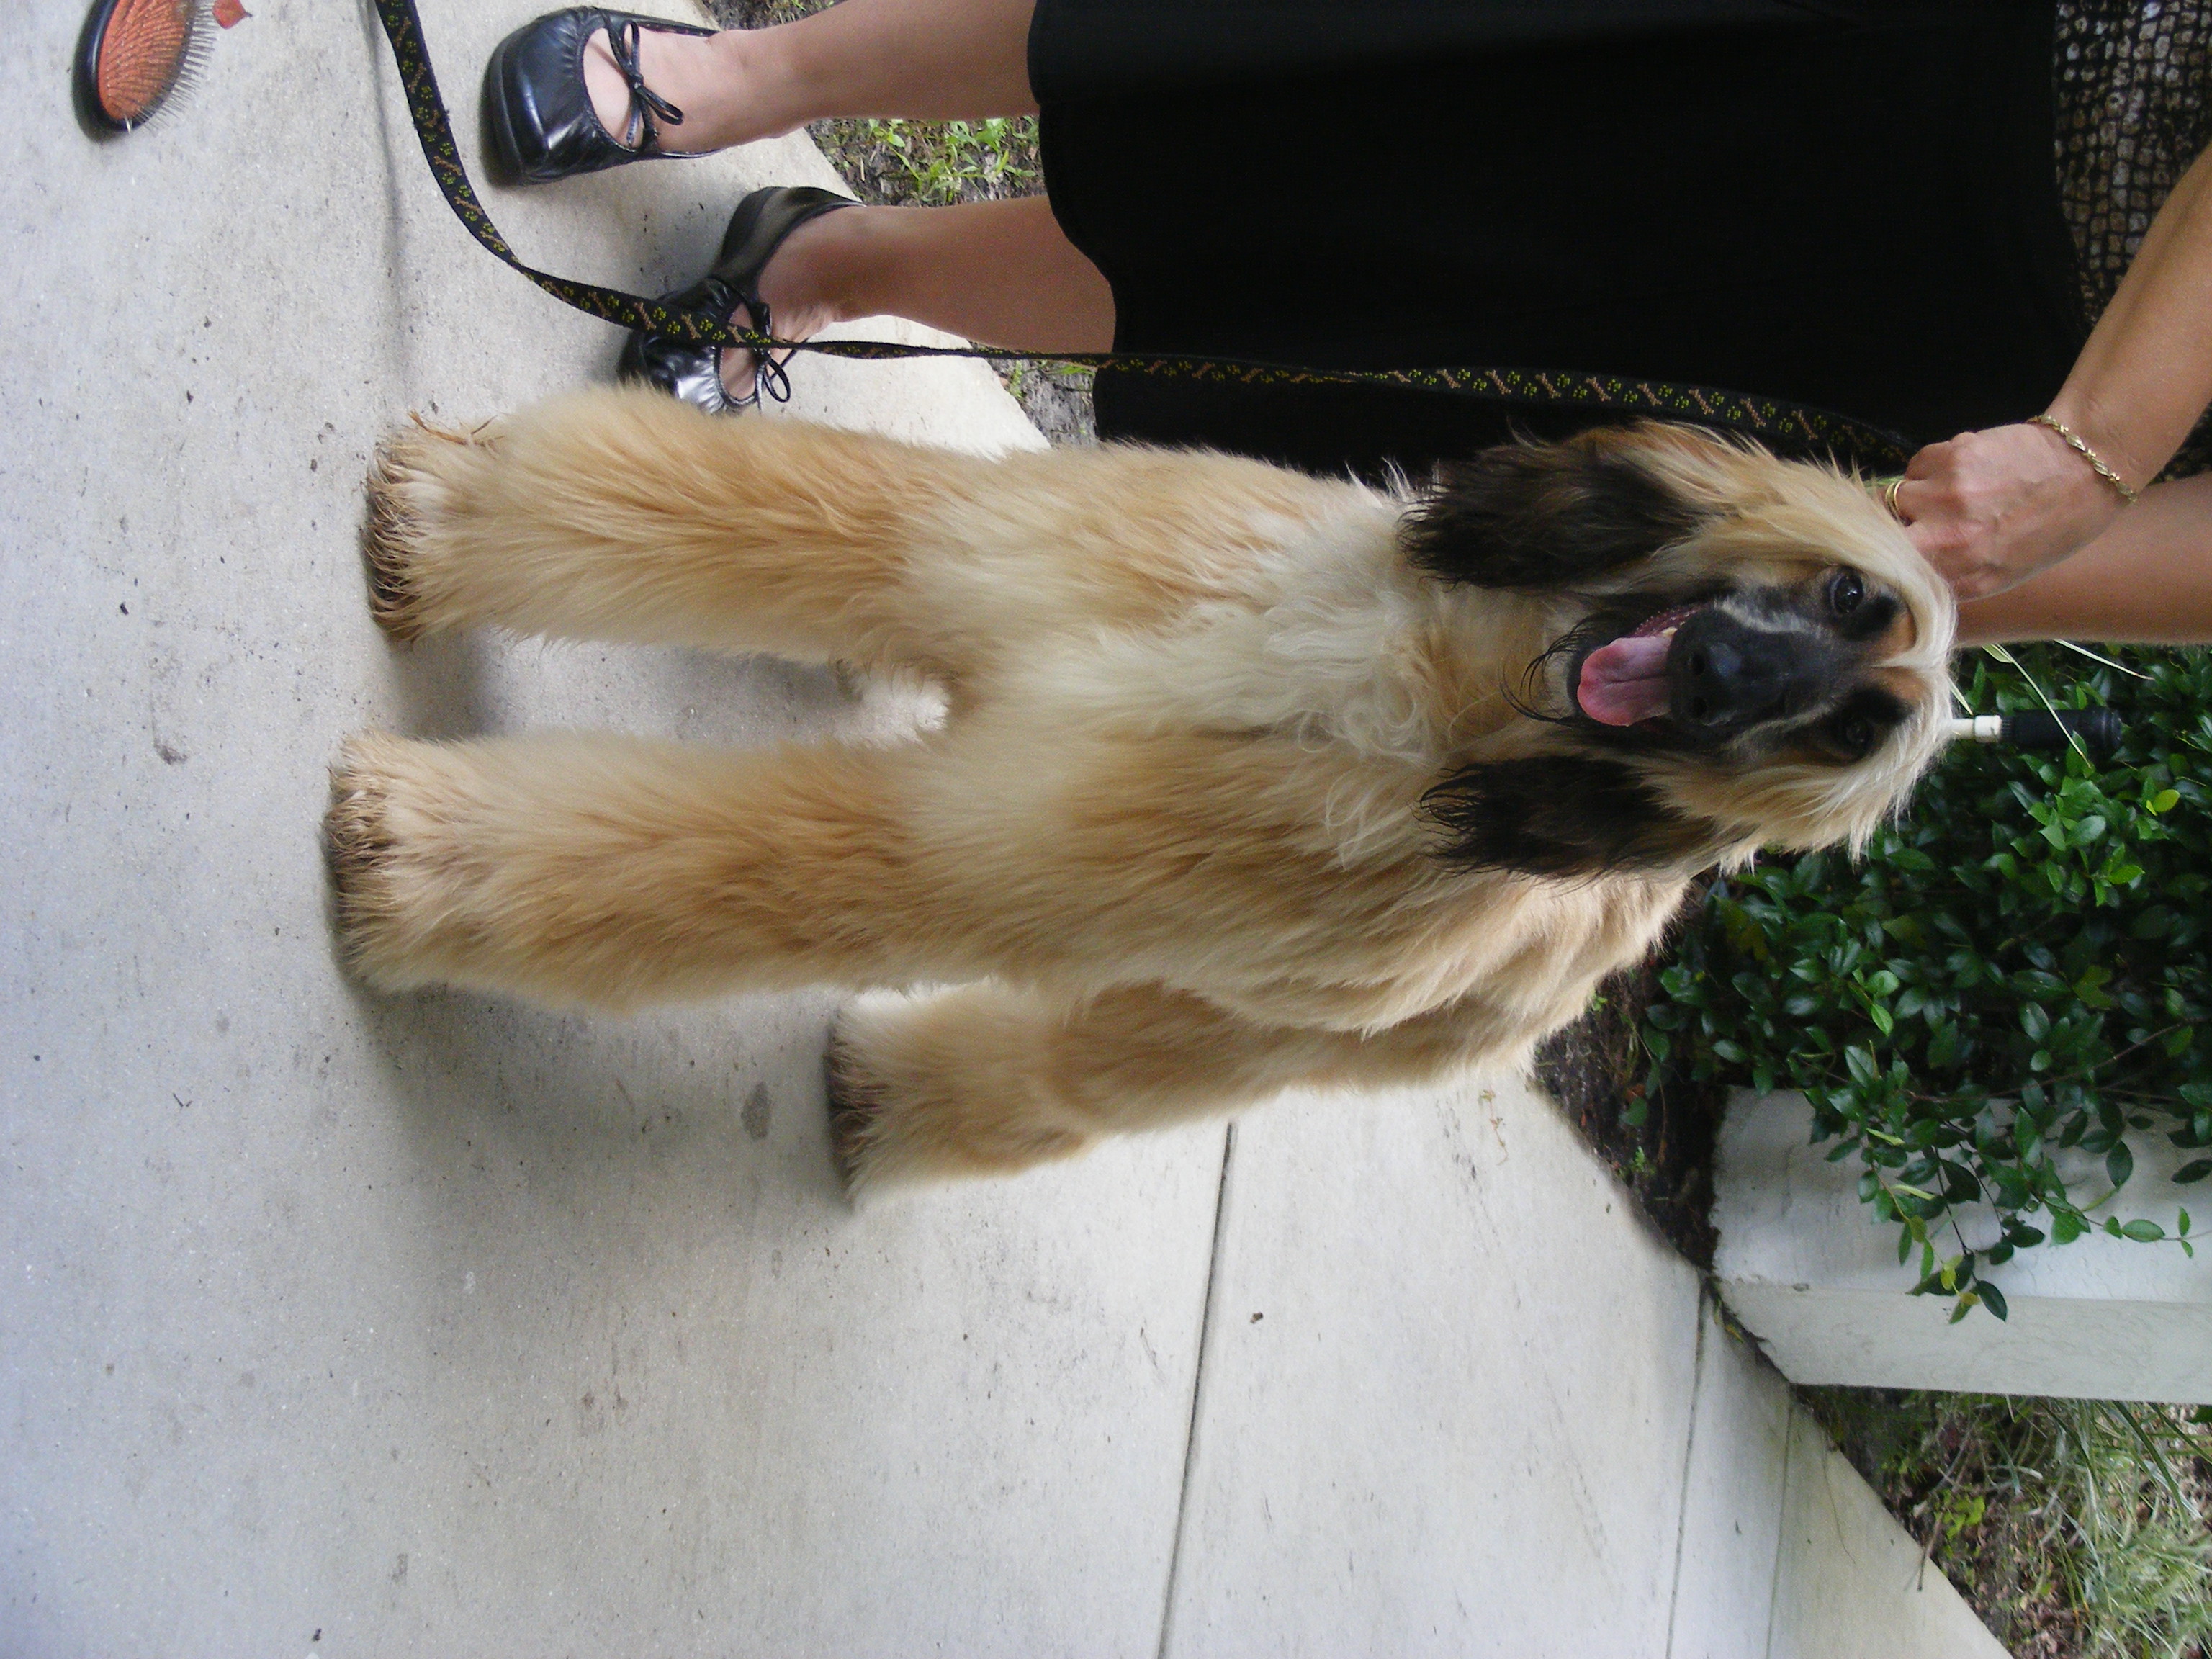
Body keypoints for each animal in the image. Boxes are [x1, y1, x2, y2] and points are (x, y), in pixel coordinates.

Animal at [328, 388, 1953, 1190]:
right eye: (1848, 593)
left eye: (1851, 730)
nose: (1719, 683)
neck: (1398, 690)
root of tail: (1620, 927)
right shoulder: (961, 561)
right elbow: (729, 513)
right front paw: (440, 524)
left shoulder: (979, 848)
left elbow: (733, 866)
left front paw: (406, 862)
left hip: (1231, 1033)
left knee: (1057, 1089)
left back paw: (888, 1108)